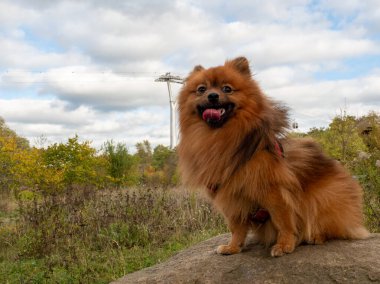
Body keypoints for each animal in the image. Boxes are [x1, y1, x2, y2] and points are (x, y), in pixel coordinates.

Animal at [177, 56, 370, 256]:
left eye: (227, 89)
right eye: (201, 89)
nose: (212, 96)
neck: (218, 137)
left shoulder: (274, 191)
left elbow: (283, 220)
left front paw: (284, 244)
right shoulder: (232, 198)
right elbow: (236, 228)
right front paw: (233, 247)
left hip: (325, 197)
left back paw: (316, 236)